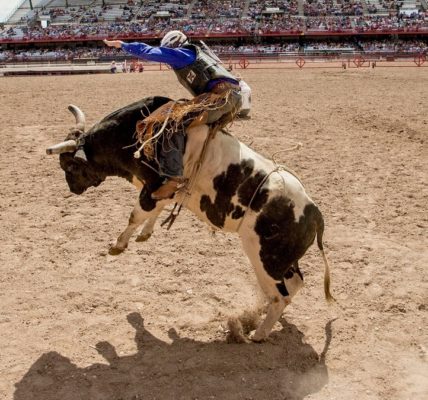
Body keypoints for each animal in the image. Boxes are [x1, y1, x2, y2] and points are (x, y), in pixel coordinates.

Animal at [46, 96, 334, 342]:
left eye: (70, 166)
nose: (72, 188)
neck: (130, 135)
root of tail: (315, 212)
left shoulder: (152, 189)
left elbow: (135, 215)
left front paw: (118, 244)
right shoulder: (164, 192)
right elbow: (154, 211)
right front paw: (145, 234)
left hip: (265, 258)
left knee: (280, 297)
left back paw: (259, 333)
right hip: (284, 260)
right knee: (294, 284)